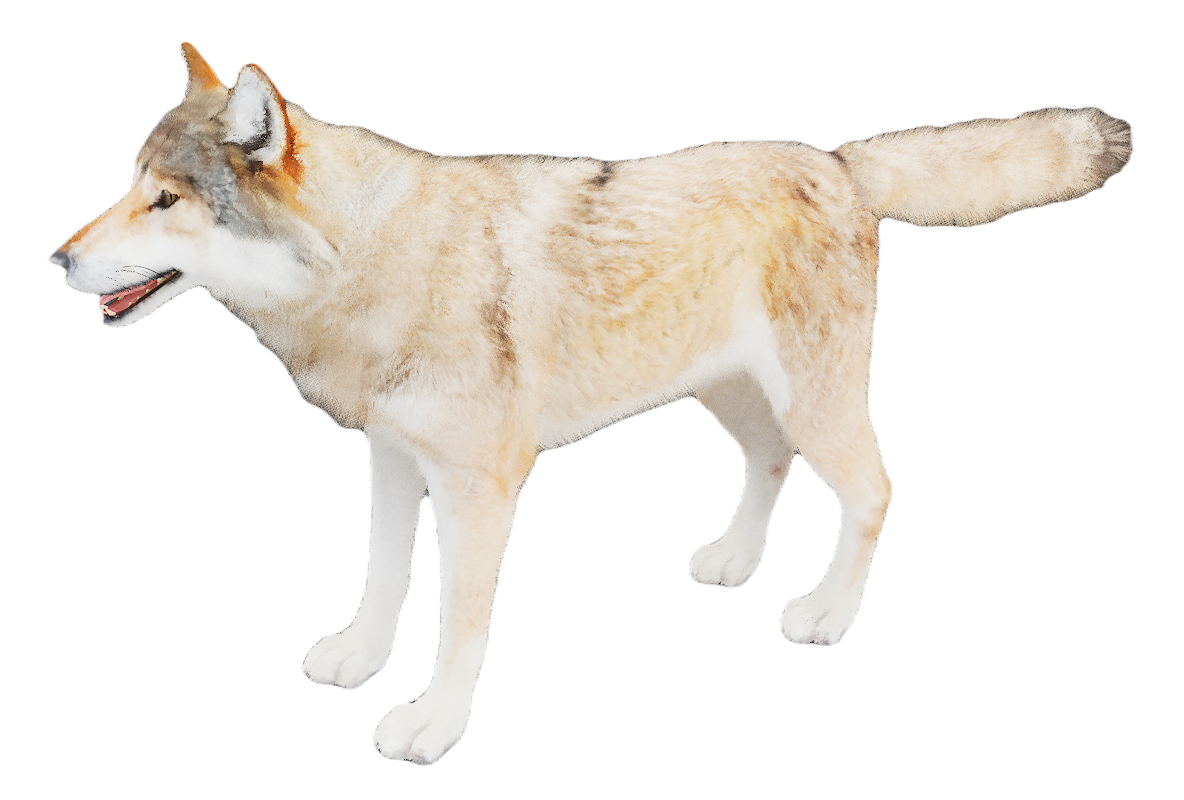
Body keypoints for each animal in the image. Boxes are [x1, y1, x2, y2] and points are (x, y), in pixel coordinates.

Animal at [49, 42, 1132, 764]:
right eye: (129, 186)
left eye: (165, 201)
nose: (56, 261)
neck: (375, 263)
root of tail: (835, 159)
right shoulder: (392, 459)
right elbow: (384, 577)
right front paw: (358, 657)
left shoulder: (482, 488)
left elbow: (457, 621)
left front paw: (432, 723)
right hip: (730, 398)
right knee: (769, 461)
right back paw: (734, 561)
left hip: (816, 405)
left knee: (872, 490)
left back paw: (825, 612)